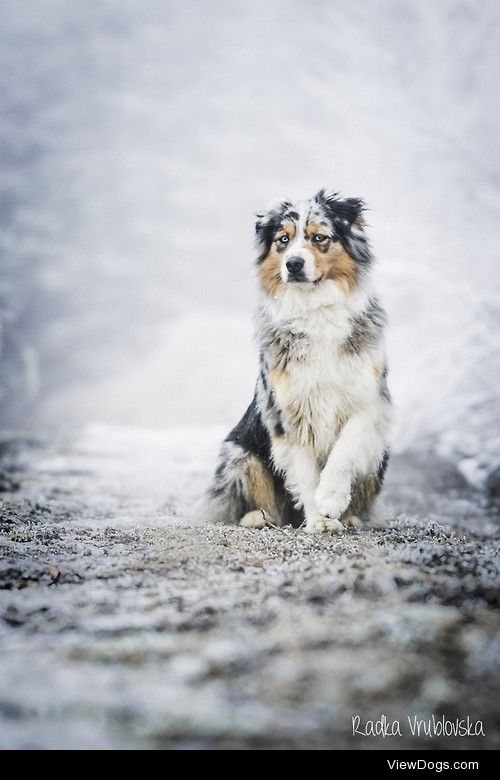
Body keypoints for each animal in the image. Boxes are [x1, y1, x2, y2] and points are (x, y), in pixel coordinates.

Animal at [203, 190, 390, 532]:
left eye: (319, 237)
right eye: (283, 240)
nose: (294, 263)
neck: (316, 310)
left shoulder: (368, 399)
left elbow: (344, 450)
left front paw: (330, 499)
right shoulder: (288, 413)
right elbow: (305, 474)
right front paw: (318, 520)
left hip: (379, 455)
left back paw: (350, 518)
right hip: (239, 452)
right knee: (263, 504)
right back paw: (257, 518)